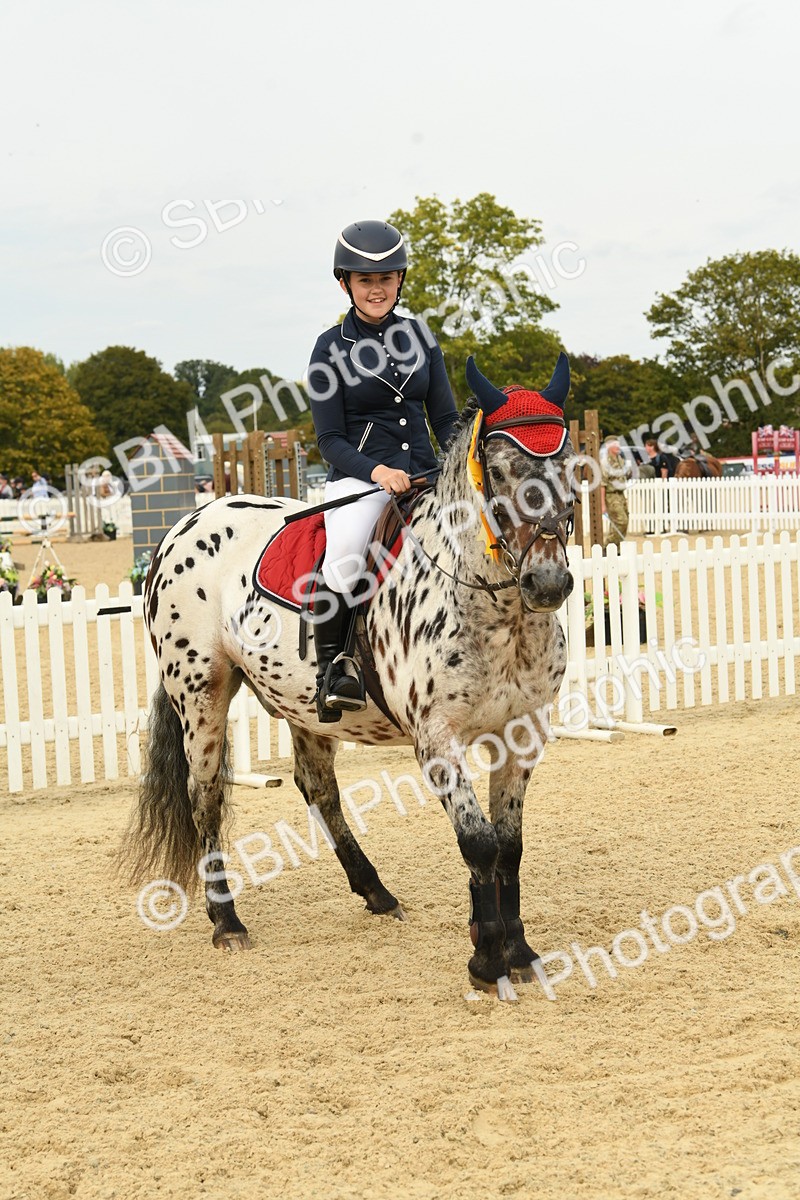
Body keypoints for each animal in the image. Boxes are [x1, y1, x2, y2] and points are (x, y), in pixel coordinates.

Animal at [120, 355, 576, 1002]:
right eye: (500, 470)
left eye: (569, 463)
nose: (548, 582)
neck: (500, 613)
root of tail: (187, 521)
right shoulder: (436, 739)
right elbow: (478, 842)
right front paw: (487, 961)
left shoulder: (521, 733)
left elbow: (508, 846)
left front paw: (520, 952)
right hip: (201, 693)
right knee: (204, 796)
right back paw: (227, 922)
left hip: (299, 702)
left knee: (317, 788)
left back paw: (377, 893)